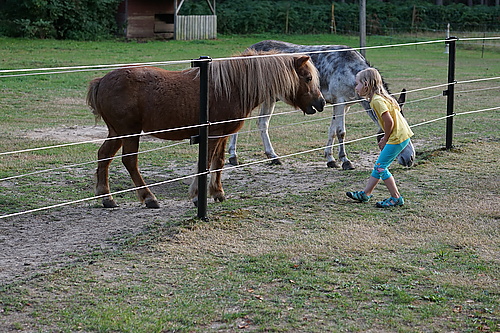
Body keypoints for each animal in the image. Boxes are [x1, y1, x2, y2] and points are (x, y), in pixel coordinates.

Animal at [88, 50, 326, 208]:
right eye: (308, 78)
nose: (321, 103)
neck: (232, 87)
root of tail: (102, 80)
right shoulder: (212, 134)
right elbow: (205, 164)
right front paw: (196, 195)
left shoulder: (223, 134)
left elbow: (218, 163)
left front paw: (218, 193)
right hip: (129, 132)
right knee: (129, 161)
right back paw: (149, 198)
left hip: (117, 132)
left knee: (104, 156)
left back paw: (106, 197)